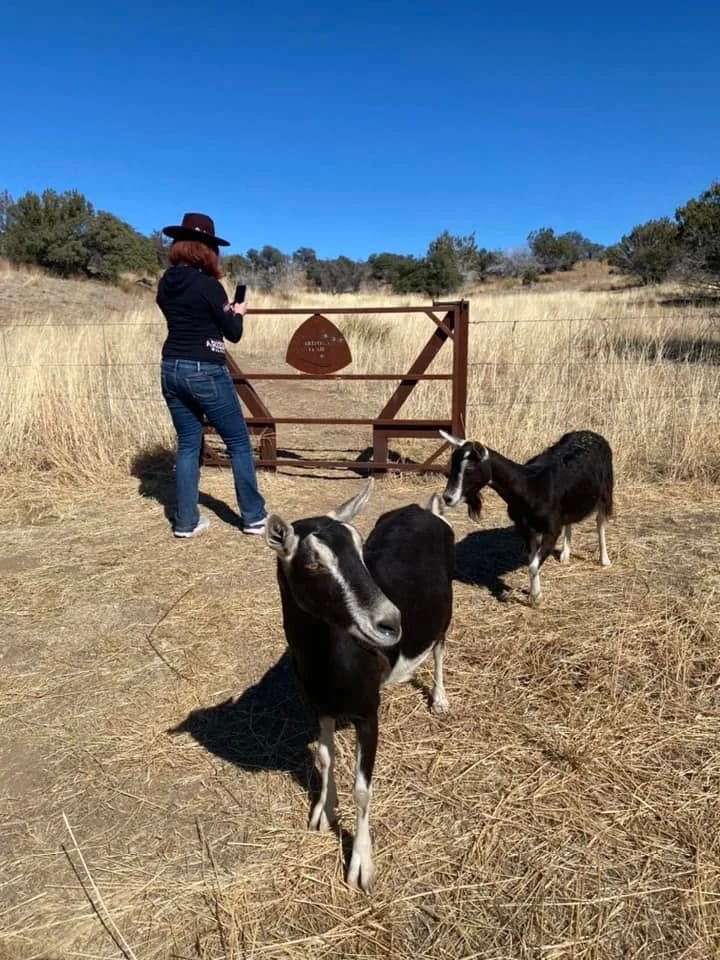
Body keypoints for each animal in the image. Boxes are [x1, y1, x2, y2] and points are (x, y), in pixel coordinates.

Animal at [265, 482, 454, 891]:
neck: (331, 661)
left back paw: (440, 699)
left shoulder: (368, 713)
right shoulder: (319, 705)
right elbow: (324, 756)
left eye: (360, 547)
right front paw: (324, 811)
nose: (391, 623)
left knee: (439, 647)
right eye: (312, 562)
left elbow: (363, 789)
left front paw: (361, 865)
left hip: (446, 613)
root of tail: (424, 509)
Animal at [440, 429, 613, 605]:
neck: (530, 487)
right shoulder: (526, 527)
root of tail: (591, 433)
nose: (448, 498)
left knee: (600, 522)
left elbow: (533, 565)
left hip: (606, 489)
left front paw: (535, 599)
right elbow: (532, 560)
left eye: (469, 469)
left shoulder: (551, 530)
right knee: (570, 520)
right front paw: (534, 595)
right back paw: (565, 555)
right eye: (451, 466)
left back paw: (604, 560)